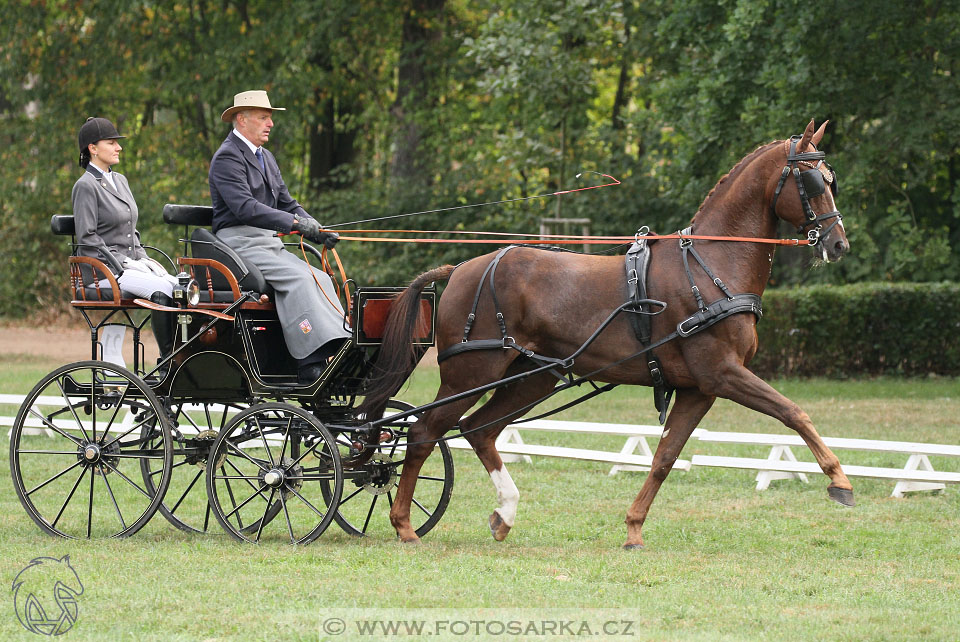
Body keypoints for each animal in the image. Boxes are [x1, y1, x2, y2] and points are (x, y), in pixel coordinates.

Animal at [360, 119, 848, 544]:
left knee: (478, 429)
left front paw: (633, 528)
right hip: (471, 373)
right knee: (424, 432)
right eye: (812, 182)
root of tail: (460, 268)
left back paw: (504, 514)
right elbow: (793, 412)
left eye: (832, 180)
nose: (838, 243)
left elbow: (664, 457)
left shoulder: (699, 388)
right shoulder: (723, 374)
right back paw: (404, 524)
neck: (710, 265)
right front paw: (840, 480)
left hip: (533, 377)